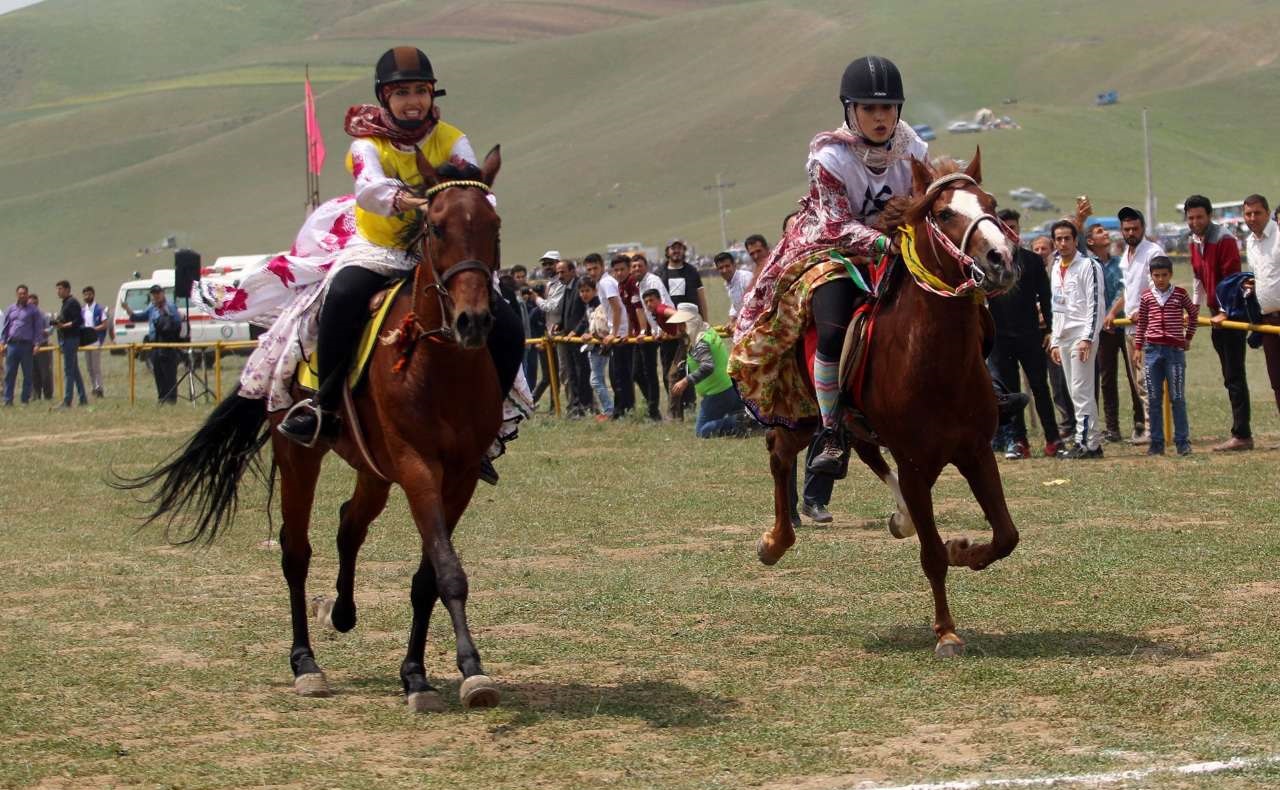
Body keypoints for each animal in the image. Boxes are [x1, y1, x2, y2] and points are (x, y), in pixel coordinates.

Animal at [116, 144, 514, 711]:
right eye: (436, 227)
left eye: (494, 226)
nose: (473, 321)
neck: (438, 365)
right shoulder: (418, 466)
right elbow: (446, 570)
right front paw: (467, 671)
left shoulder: (457, 477)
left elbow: (427, 577)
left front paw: (420, 674)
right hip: (301, 456)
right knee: (296, 551)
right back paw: (306, 663)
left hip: (375, 469)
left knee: (349, 523)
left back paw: (342, 612)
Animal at [757, 151, 1018, 655]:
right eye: (944, 214)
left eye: (991, 204)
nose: (1001, 260)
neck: (935, 362)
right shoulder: (916, 464)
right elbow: (932, 555)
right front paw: (947, 632)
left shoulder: (976, 452)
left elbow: (1005, 536)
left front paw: (965, 551)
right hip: (803, 415)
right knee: (780, 453)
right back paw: (775, 541)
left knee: (865, 453)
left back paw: (898, 518)